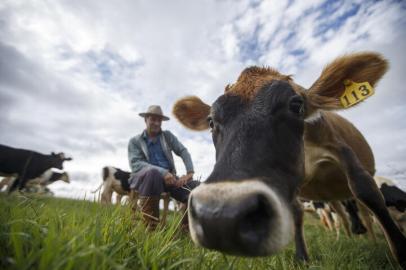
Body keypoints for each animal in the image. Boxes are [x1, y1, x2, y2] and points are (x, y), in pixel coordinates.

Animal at [172, 51, 406, 266]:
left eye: (296, 105)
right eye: (211, 121)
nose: (220, 217)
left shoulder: (339, 147)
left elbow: (366, 189)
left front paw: (400, 254)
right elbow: (296, 213)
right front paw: (302, 258)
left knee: (365, 212)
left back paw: (371, 241)